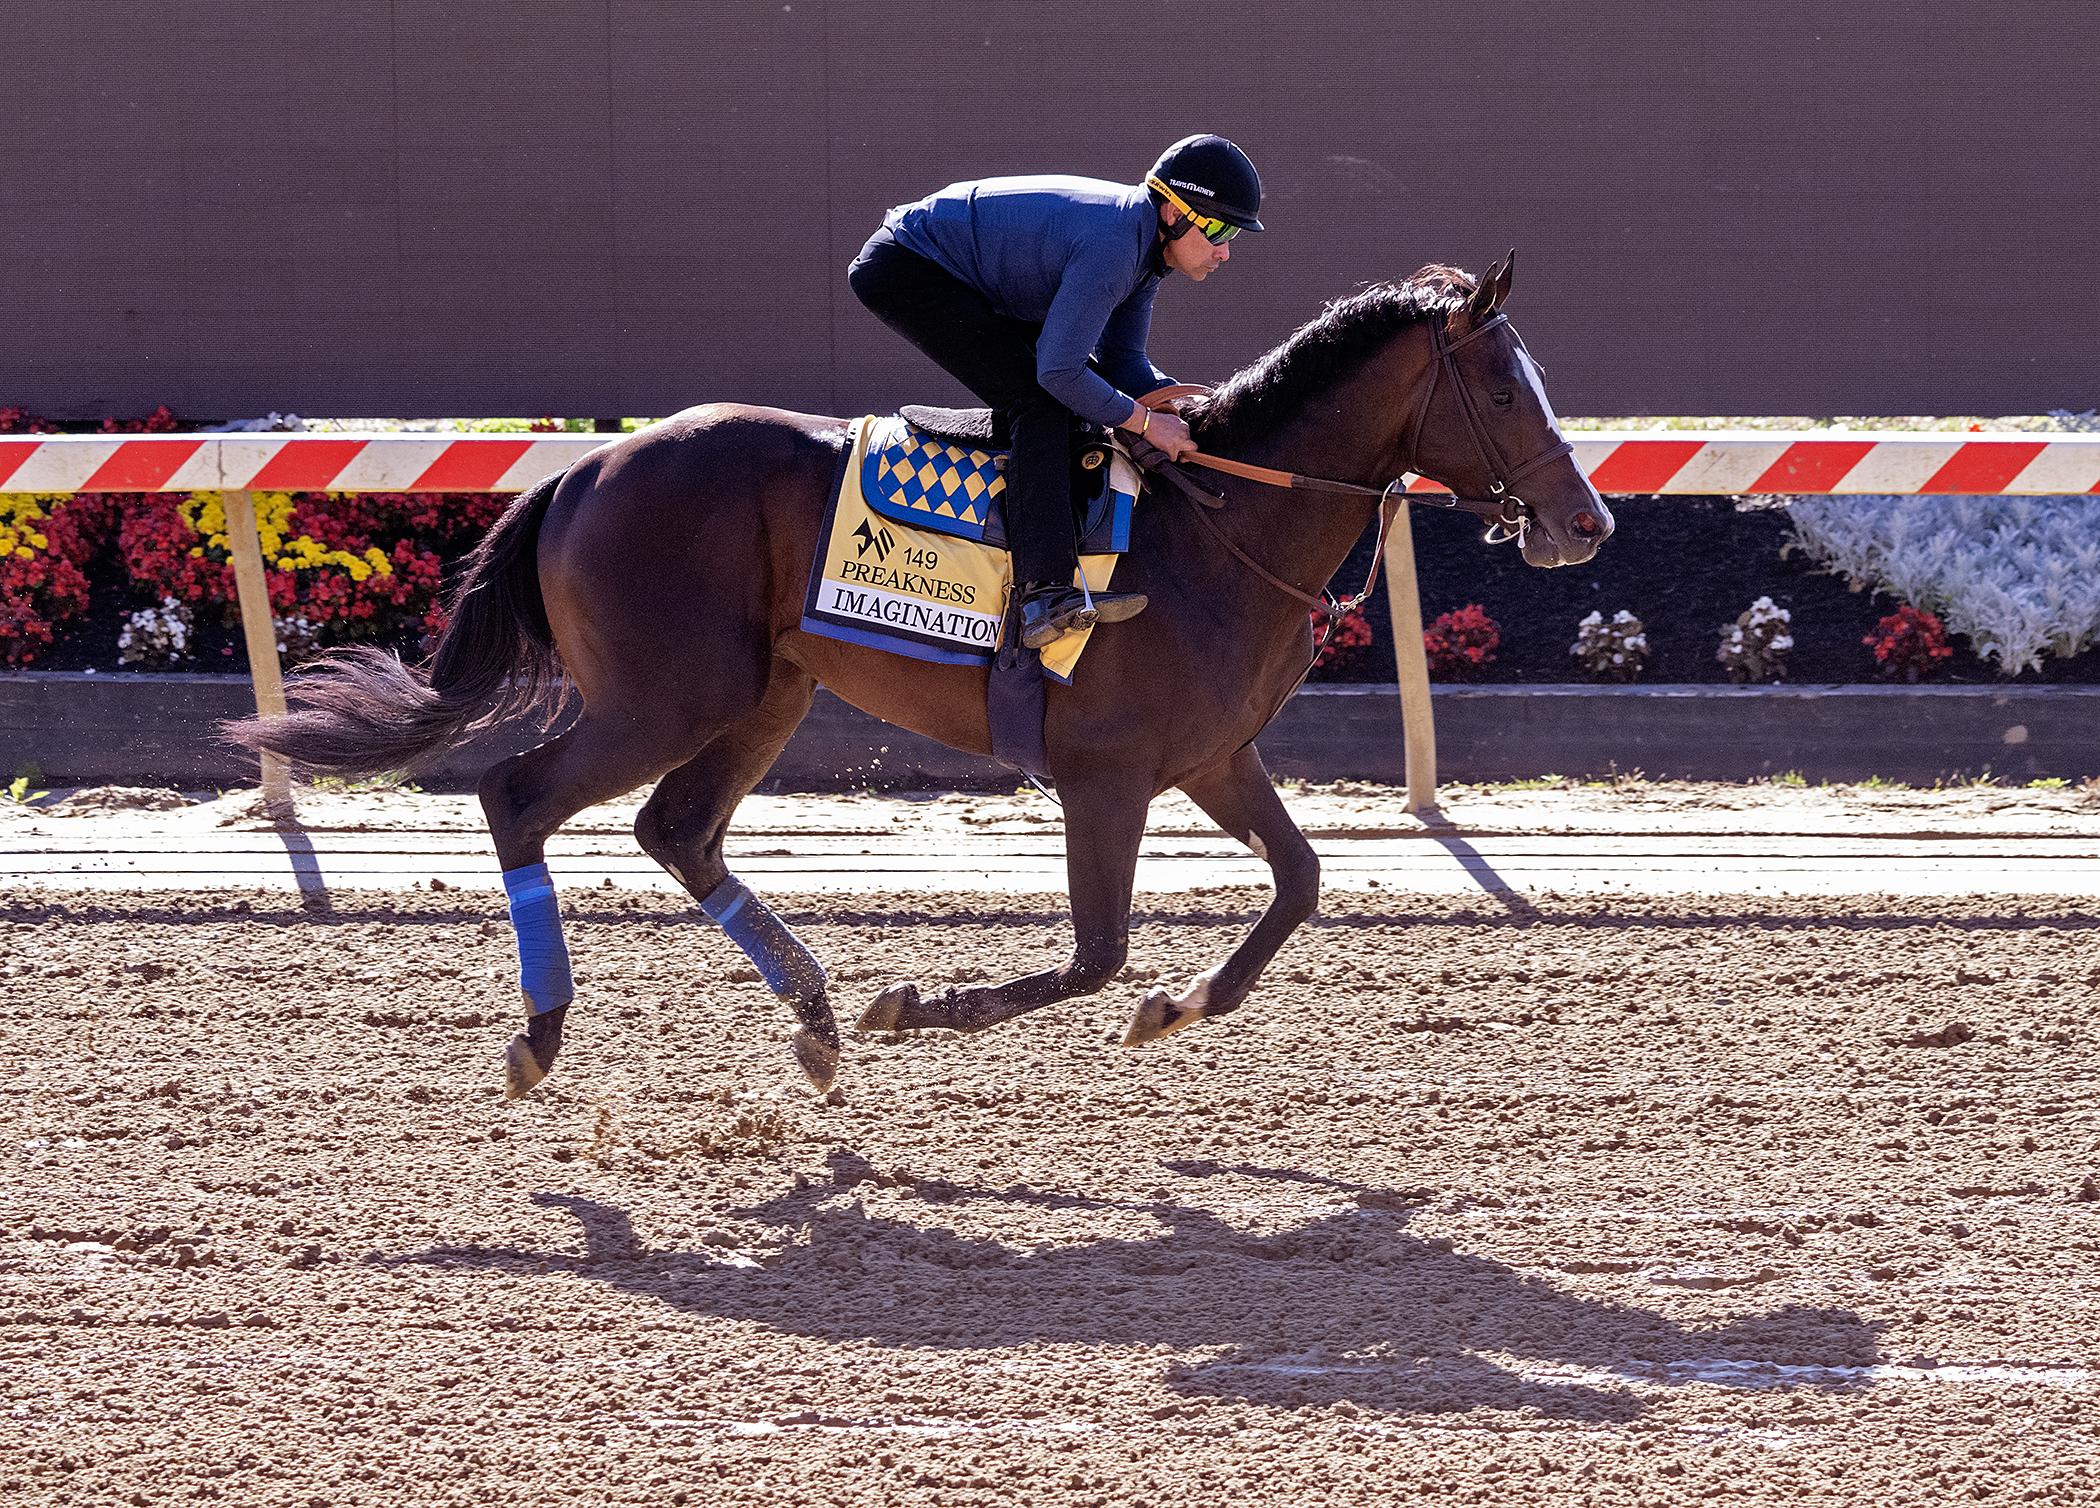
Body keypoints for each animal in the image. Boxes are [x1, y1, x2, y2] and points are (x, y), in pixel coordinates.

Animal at [229, 254, 1604, 1100]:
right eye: (1501, 383)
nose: (1584, 522)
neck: (1220, 527)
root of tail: (581, 470)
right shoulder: (1105, 777)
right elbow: (1094, 953)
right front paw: (918, 1005)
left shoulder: (1213, 755)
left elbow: (1301, 884)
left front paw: (1178, 1005)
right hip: (659, 698)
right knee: (519, 795)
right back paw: (546, 1031)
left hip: (767, 691)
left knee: (679, 829)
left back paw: (814, 1020)